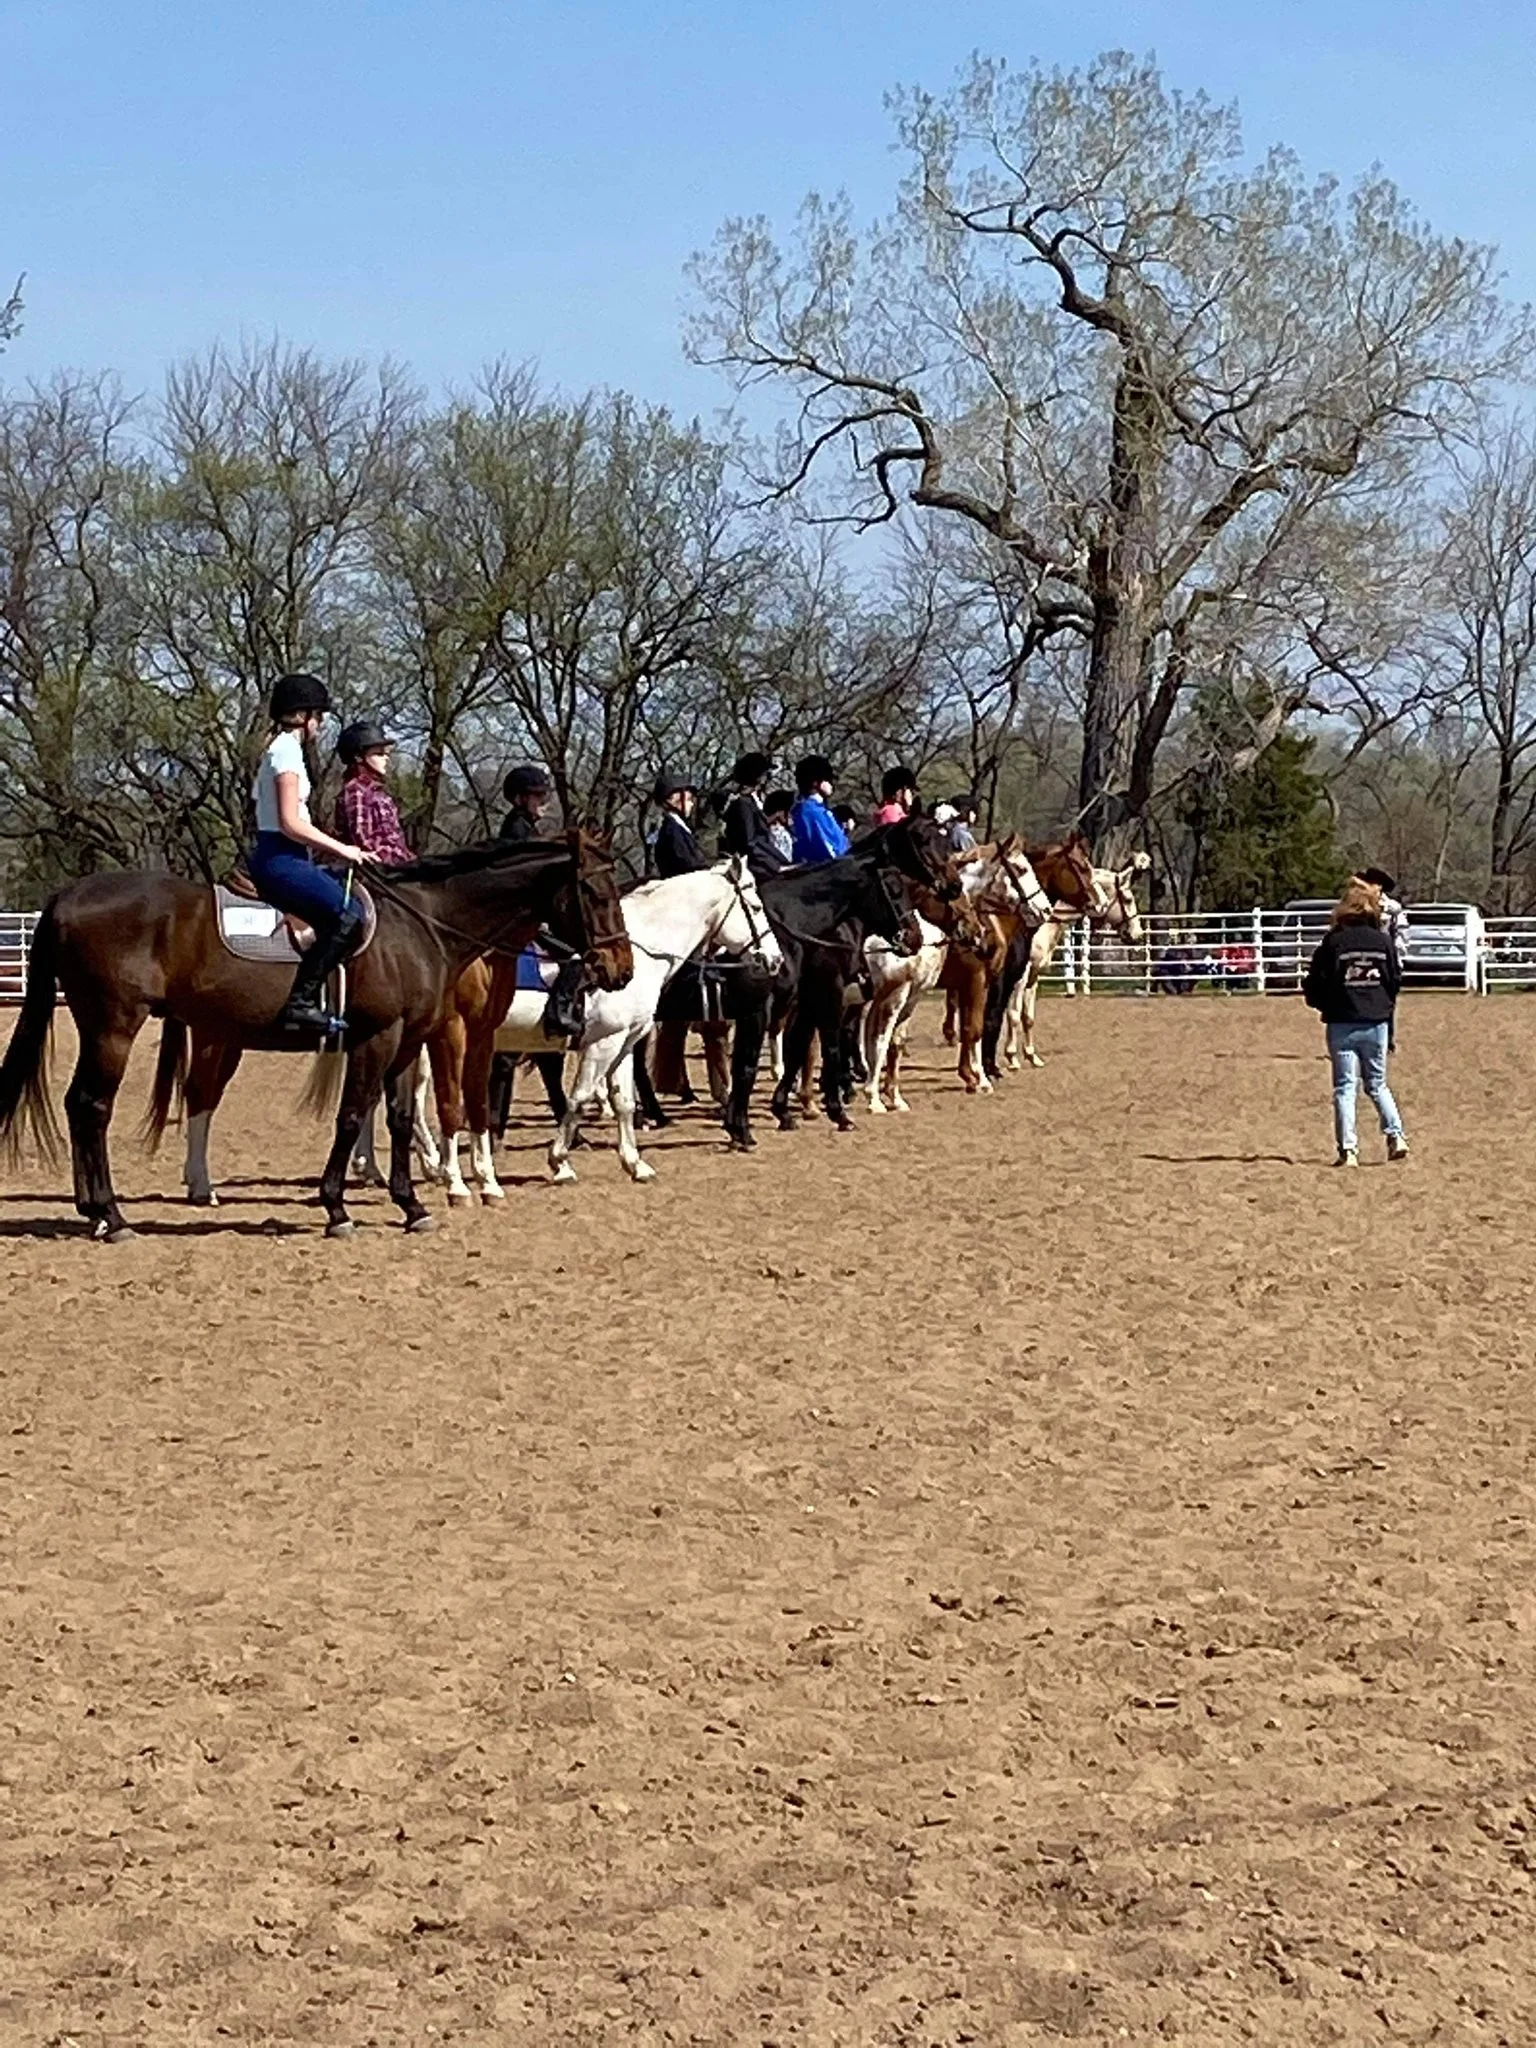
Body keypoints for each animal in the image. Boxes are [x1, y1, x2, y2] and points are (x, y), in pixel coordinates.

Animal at [0, 832, 633, 1241]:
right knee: (93, 1106)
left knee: (81, 1105)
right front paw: (337, 1209)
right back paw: (112, 1217)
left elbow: (399, 1118)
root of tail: (67, 896)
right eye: (596, 893)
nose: (620, 968)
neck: (421, 922)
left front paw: (411, 1205)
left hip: (106, 1027)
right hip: (114, 1027)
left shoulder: (407, 1041)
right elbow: (352, 1116)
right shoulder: (379, 1037)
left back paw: (94, 1210)